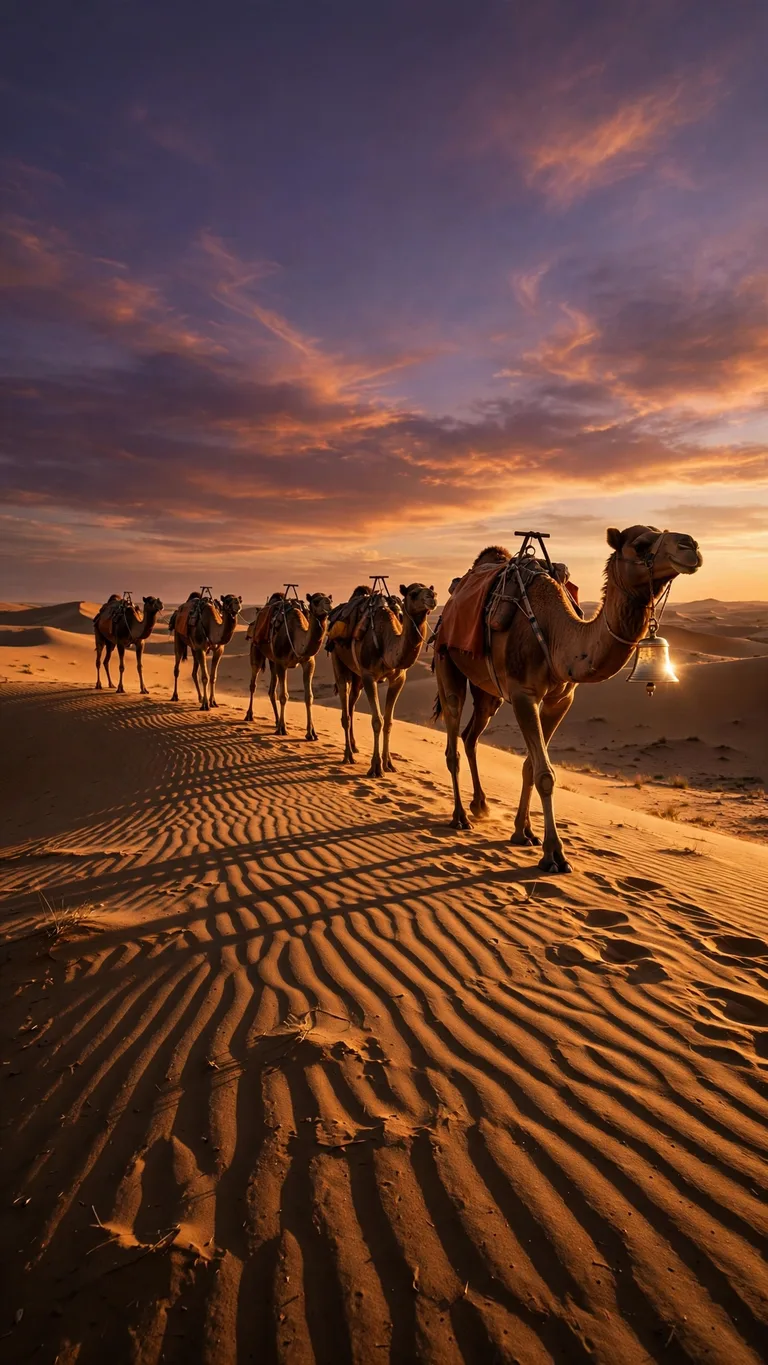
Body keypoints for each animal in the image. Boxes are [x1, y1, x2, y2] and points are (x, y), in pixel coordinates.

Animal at [244, 591, 333, 738]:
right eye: (316, 601)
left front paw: (311, 733)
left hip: (272, 661)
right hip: (256, 648)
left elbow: (309, 697)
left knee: (271, 690)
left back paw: (276, 720)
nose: (329, 607)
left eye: (330, 600)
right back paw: (250, 715)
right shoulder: (281, 663)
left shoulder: (308, 662)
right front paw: (282, 729)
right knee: (253, 684)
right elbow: (283, 696)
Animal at [330, 582, 437, 777]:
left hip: (357, 677)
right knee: (345, 707)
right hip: (338, 659)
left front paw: (389, 763)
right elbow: (377, 720)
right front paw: (376, 767)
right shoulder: (369, 676)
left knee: (352, 704)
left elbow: (388, 721)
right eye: (413, 593)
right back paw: (348, 755)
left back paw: (354, 747)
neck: (386, 642)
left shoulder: (398, 679)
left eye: (431, 590)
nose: (432, 597)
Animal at [433, 525, 702, 873]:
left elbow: (529, 766)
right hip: (446, 661)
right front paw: (554, 854)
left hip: (487, 690)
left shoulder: (560, 700)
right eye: (641, 545)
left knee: (471, 736)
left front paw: (523, 832)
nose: (690, 545)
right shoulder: (523, 695)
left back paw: (481, 806)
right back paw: (460, 816)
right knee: (453, 735)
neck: (555, 633)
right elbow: (545, 773)